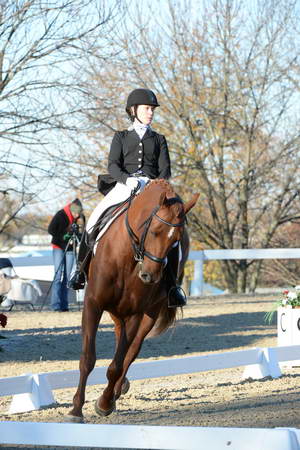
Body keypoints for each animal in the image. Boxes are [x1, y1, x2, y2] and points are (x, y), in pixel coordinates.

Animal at [68, 179, 199, 422]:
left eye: (176, 241)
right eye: (155, 231)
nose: (149, 276)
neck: (128, 255)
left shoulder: (136, 313)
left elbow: (118, 364)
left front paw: (104, 403)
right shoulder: (93, 304)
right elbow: (87, 358)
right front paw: (75, 410)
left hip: (150, 312)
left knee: (132, 350)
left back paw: (116, 391)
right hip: (116, 310)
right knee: (120, 337)